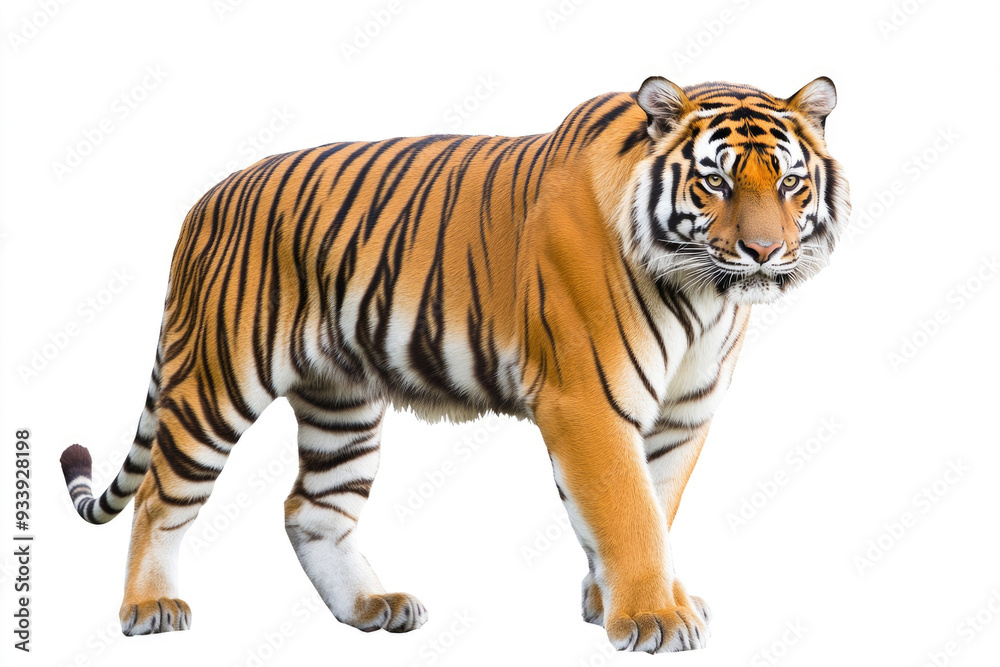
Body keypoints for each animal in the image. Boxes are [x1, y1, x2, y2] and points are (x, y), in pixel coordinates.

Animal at [59, 75, 849, 653]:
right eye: (715, 182)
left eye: (789, 183)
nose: (764, 252)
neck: (703, 293)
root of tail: (205, 199)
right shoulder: (589, 401)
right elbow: (629, 510)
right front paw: (653, 617)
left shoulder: (684, 415)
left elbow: (656, 503)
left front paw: (615, 602)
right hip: (216, 380)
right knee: (161, 495)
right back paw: (151, 606)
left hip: (342, 401)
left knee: (310, 508)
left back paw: (370, 606)